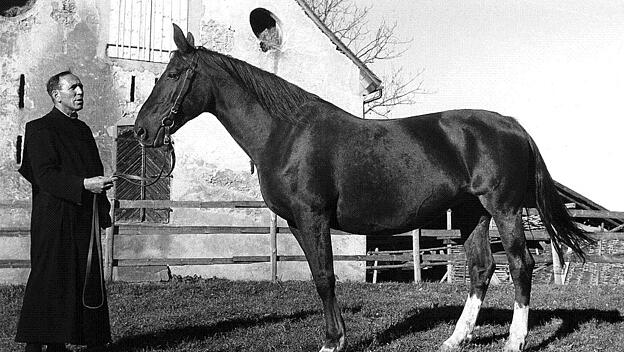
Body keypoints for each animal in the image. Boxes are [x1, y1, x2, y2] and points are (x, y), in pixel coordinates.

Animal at [134, 24, 592, 352]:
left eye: (173, 74)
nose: (142, 130)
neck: (286, 133)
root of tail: (512, 124)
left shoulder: (313, 217)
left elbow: (325, 277)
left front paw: (332, 342)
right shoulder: (298, 224)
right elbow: (321, 276)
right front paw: (335, 337)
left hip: (505, 209)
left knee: (520, 265)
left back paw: (515, 341)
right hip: (471, 214)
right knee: (481, 269)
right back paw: (454, 339)